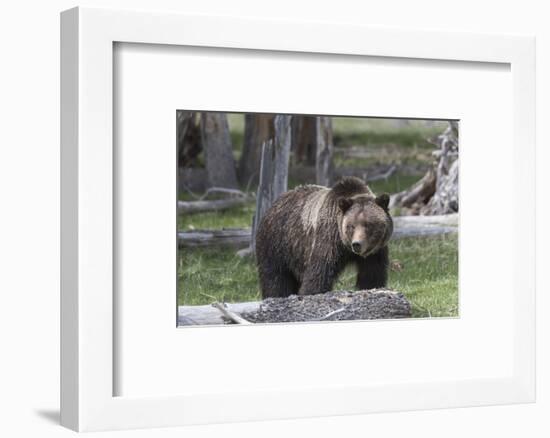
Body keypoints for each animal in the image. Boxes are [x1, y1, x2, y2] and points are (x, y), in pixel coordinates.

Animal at [256, 177, 394, 298]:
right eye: (351, 226)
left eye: (368, 224)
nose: (357, 244)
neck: (345, 246)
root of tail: (273, 205)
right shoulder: (328, 238)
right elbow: (319, 272)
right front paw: (311, 292)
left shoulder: (375, 253)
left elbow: (372, 276)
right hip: (277, 243)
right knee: (275, 277)